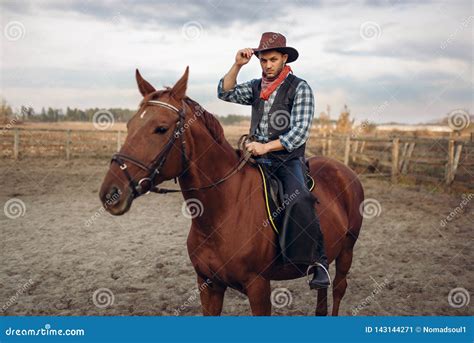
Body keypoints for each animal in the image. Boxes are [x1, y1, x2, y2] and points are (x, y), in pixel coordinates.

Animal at [100, 68, 364, 318]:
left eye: (161, 128)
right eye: (129, 125)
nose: (110, 193)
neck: (223, 210)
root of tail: (343, 170)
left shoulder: (258, 287)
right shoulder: (209, 285)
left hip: (346, 251)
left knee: (338, 288)